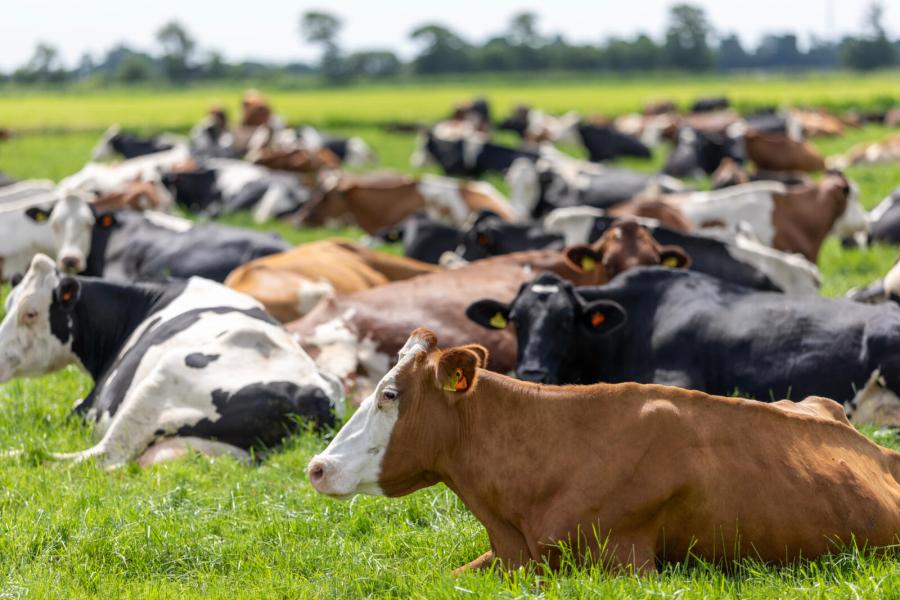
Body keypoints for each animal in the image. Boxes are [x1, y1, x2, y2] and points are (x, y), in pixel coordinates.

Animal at [0, 254, 344, 468]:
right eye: (8, 304)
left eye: (30, 313)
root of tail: (315, 395)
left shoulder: (86, 408)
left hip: (164, 377)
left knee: (100, 457)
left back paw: (15, 455)